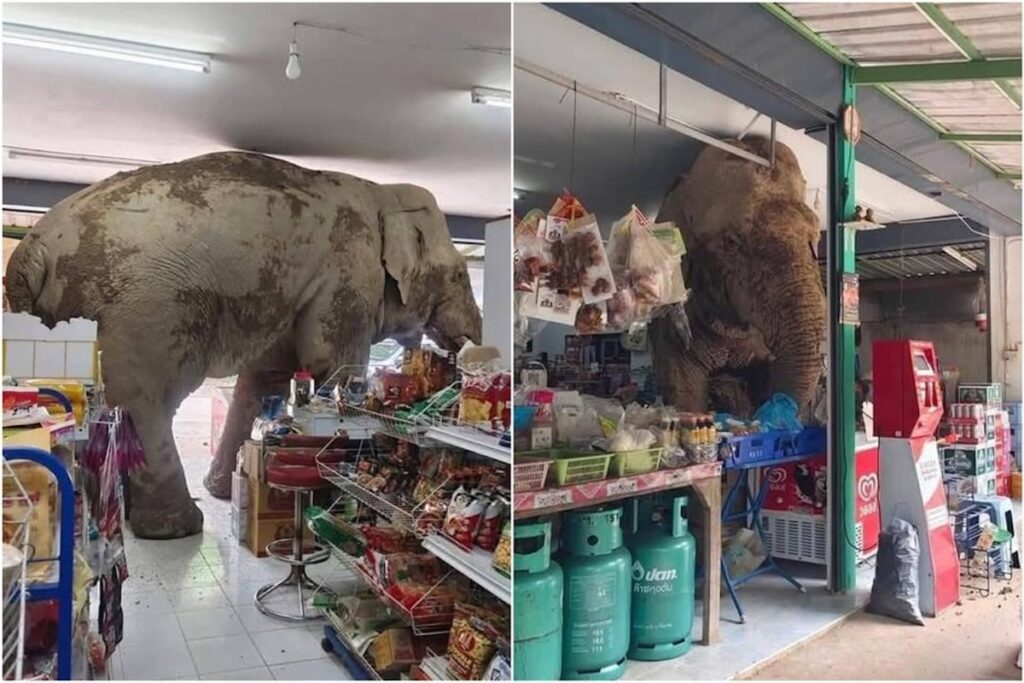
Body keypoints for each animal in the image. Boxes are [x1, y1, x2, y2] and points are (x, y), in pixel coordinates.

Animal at [6, 151, 482, 539]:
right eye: (460, 274)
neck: (382, 193)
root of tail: (31, 248)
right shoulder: (348, 273)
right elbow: (334, 366)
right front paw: (333, 505)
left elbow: (264, 380)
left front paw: (228, 489)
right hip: (143, 309)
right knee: (147, 398)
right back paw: (177, 528)